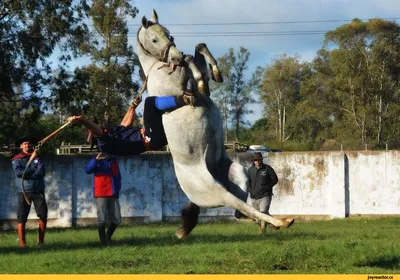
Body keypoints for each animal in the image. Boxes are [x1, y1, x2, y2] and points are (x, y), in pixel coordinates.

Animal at [138, 10, 294, 238]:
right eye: (154, 39)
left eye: (169, 33)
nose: (176, 56)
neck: (157, 67)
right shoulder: (178, 91)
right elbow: (195, 74)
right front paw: (200, 75)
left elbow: (199, 51)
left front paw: (214, 73)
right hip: (215, 191)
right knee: (239, 205)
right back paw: (282, 221)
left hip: (237, 174)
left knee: (240, 205)